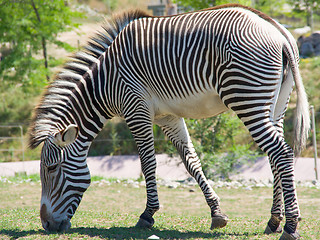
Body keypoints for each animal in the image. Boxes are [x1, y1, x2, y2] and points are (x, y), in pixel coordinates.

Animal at [28, 4, 310, 240]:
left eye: (51, 169)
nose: (46, 225)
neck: (105, 83)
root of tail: (277, 31)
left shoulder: (136, 109)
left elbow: (148, 164)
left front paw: (147, 216)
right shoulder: (167, 116)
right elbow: (191, 161)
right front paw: (217, 213)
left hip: (246, 97)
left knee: (281, 152)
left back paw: (290, 226)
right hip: (276, 102)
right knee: (274, 155)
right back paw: (273, 221)